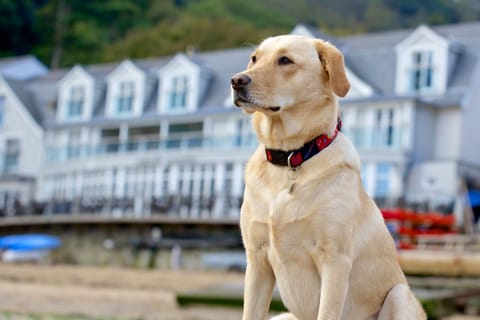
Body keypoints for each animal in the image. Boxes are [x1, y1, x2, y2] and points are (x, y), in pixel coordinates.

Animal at [231, 35, 426, 320]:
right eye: (254, 58)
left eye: (285, 60)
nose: (236, 80)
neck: (292, 157)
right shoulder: (257, 261)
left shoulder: (334, 261)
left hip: (399, 295)